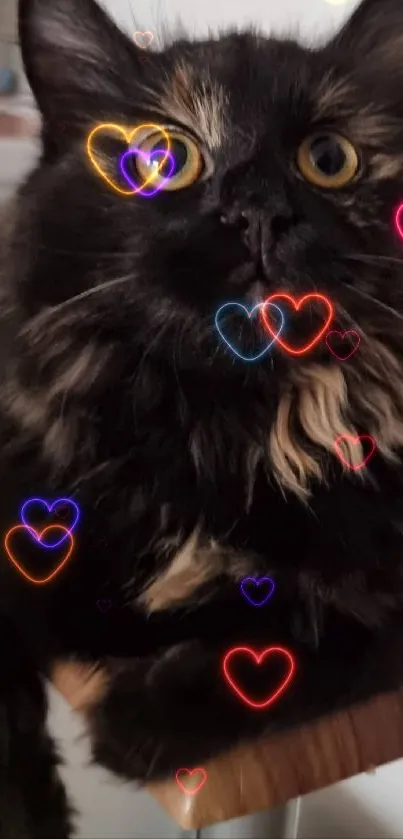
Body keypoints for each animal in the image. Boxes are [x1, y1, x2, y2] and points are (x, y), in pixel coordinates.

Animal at [2, 0, 403, 836]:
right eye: (164, 157)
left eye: (328, 157)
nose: (258, 213)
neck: (219, 425)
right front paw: (34, 812)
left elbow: (312, 626)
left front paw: (135, 720)